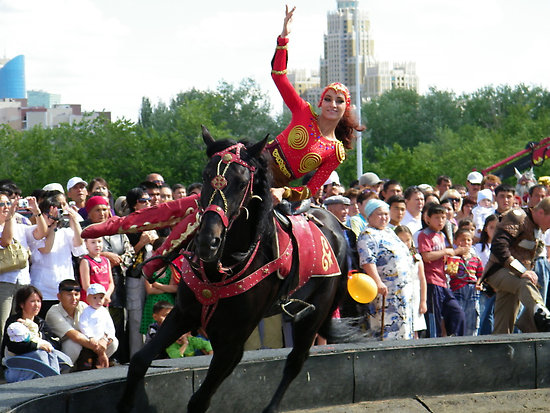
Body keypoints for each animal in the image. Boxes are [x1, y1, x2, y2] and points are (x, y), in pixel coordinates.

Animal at [118, 127, 352, 410]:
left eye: (242, 183)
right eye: (206, 176)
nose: (208, 241)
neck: (222, 266)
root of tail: (337, 228)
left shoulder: (232, 342)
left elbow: (199, 400)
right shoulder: (184, 314)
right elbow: (139, 361)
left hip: (315, 313)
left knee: (296, 361)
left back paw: (271, 407)